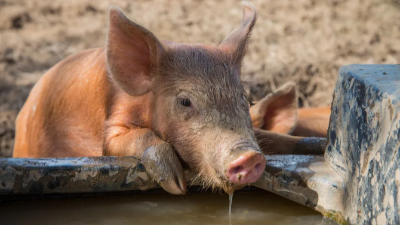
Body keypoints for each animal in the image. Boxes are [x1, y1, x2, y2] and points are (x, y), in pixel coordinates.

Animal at [14, 1, 268, 194]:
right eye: (185, 101)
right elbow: (123, 141)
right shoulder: (112, 126)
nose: (249, 156)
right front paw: (176, 186)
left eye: (245, 98)